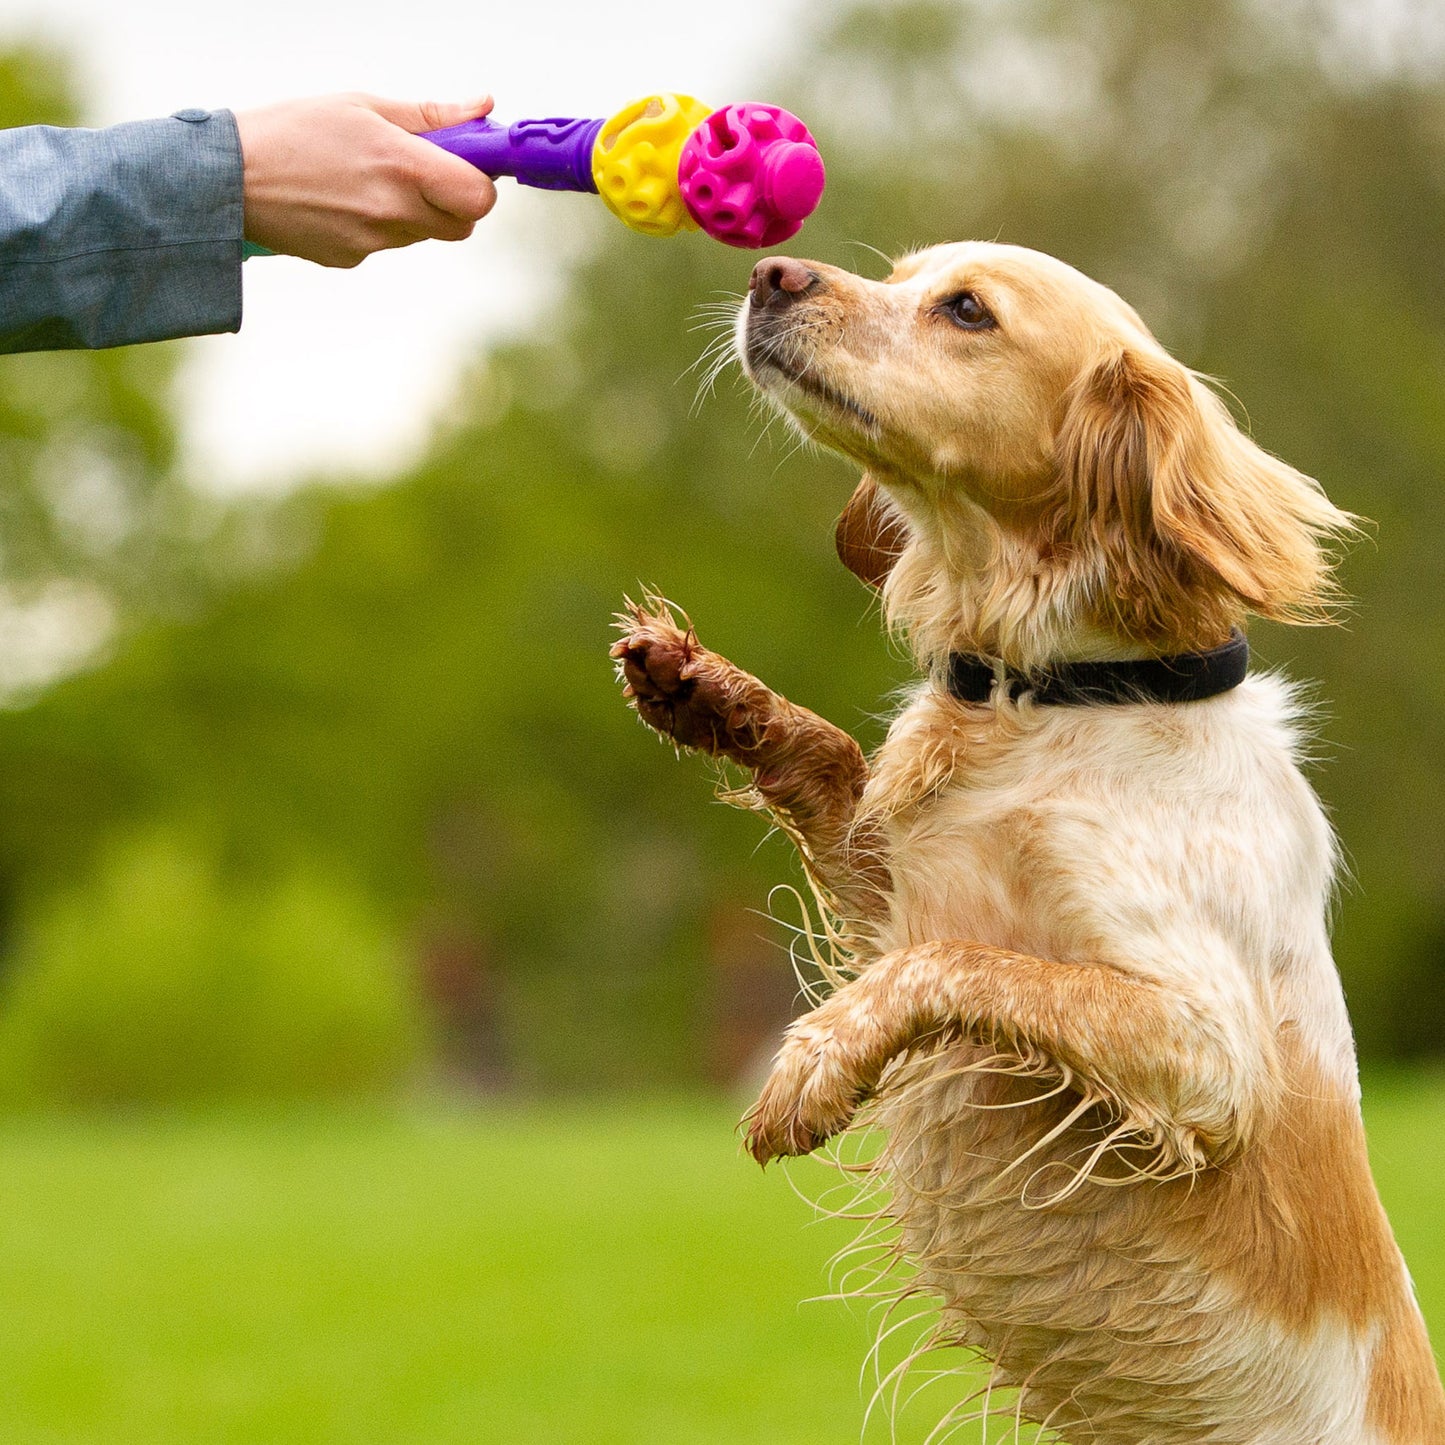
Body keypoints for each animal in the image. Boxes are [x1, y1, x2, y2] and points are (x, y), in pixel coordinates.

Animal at [609, 242, 1445, 1439]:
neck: (1057, 697)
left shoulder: (1206, 1053)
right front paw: (707, 693)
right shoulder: (896, 885)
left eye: (966, 311)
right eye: (901, 272)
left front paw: (810, 1065)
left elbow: (959, 965)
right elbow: (830, 769)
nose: (771, 272)